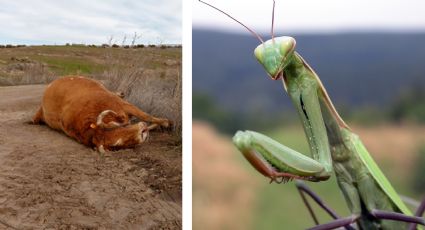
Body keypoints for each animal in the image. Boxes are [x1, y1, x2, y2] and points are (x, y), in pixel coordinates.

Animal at [32, 76, 171, 154]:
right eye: (118, 145)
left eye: (115, 124)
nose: (143, 131)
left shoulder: (123, 104)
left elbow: (147, 116)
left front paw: (166, 123)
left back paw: (121, 92)